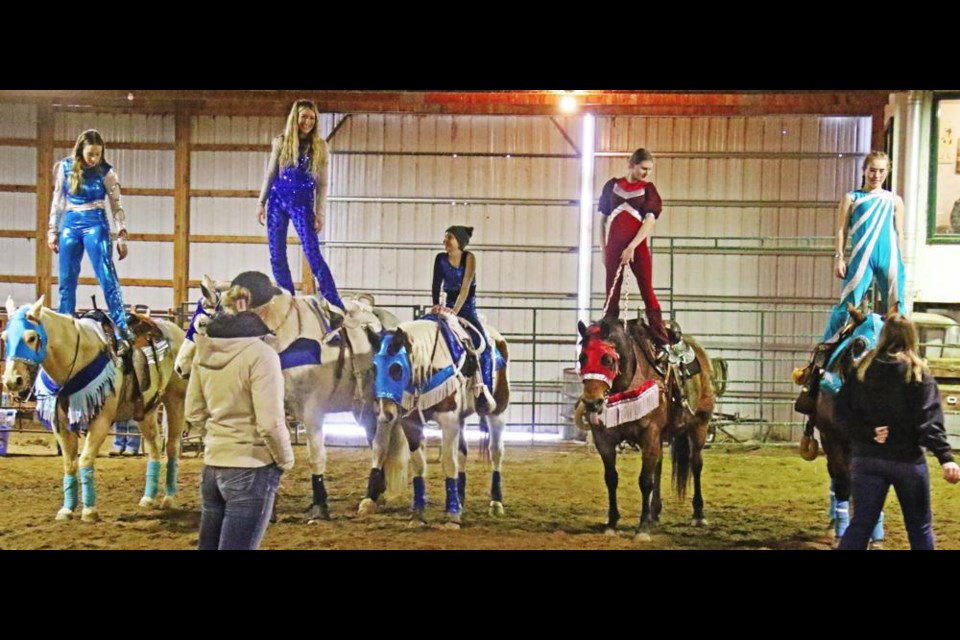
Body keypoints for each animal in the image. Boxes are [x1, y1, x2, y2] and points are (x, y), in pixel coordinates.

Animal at [1, 298, 188, 524]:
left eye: (31, 337)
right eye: (4, 338)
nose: (12, 381)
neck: (76, 360)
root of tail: (175, 328)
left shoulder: (100, 422)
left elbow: (85, 460)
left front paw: (89, 511)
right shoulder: (60, 425)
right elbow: (69, 463)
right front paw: (67, 509)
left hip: (175, 400)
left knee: (171, 447)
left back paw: (169, 499)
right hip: (146, 411)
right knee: (154, 446)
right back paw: (148, 499)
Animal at [174, 278, 406, 524]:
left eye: (201, 324)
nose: (179, 367)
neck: (289, 344)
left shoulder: (313, 412)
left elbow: (316, 457)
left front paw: (320, 506)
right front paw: (270, 509)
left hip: (383, 407)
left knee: (379, 444)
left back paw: (369, 499)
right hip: (363, 408)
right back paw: (378, 493)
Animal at [374, 318, 510, 528]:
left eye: (396, 368)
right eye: (374, 368)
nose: (384, 413)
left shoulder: (448, 421)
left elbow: (449, 463)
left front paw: (452, 517)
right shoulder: (411, 422)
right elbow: (419, 465)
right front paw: (418, 514)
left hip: (498, 410)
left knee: (496, 452)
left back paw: (495, 504)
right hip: (461, 419)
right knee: (463, 453)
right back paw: (460, 500)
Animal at [572, 316, 716, 540]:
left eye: (607, 359)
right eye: (582, 358)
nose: (591, 403)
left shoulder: (649, 435)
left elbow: (645, 481)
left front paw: (642, 527)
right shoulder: (604, 439)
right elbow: (611, 478)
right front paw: (612, 522)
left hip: (699, 426)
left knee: (696, 464)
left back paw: (698, 514)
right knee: (659, 465)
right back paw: (655, 513)